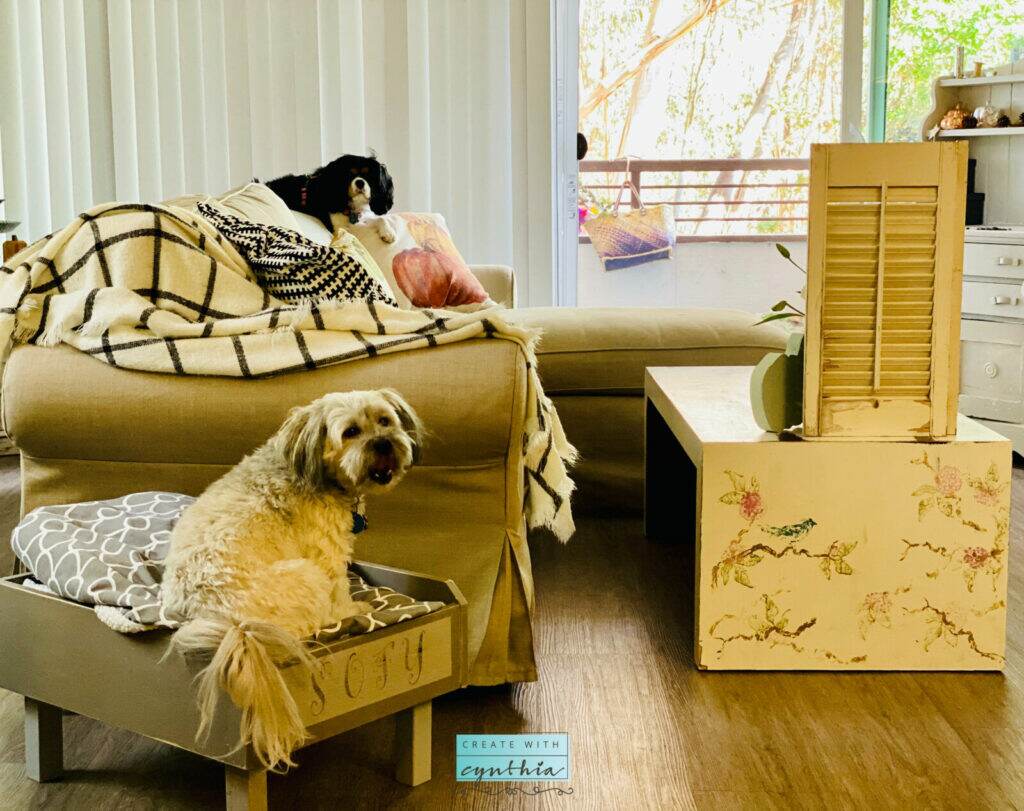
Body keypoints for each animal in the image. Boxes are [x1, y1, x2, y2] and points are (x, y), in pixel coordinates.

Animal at [158, 389, 419, 770]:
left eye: (385, 421)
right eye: (351, 432)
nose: (383, 443)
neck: (318, 475)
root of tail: (234, 626)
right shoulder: (327, 554)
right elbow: (340, 590)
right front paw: (353, 606)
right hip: (305, 576)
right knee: (318, 621)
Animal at [266, 151, 397, 240]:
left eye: (368, 176)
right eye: (349, 175)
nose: (360, 182)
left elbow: (379, 218)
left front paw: (388, 232)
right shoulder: (338, 229)